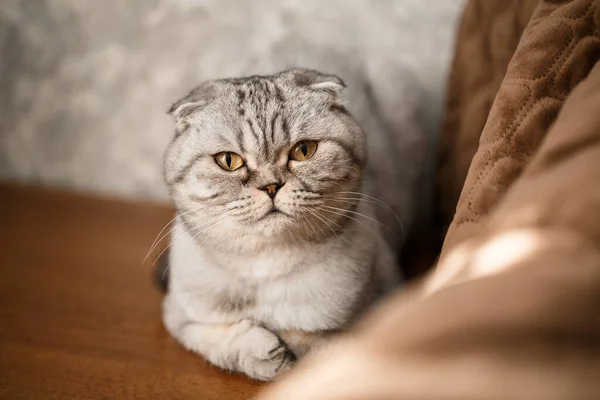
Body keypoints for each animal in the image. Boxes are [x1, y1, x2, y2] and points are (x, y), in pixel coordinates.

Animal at [162, 69, 410, 382]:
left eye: (304, 150)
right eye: (229, 161)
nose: (271, 186)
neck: (267, 264)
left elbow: (318, 339)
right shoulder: (179, 316)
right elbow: (220, 337)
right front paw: (266, 352)